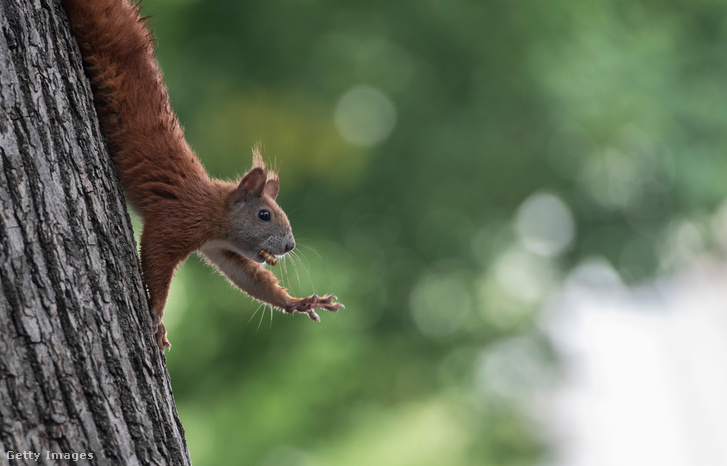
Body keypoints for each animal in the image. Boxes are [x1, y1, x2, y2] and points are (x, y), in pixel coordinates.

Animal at [62, 0, 344, 350]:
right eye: (264, 215)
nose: (290, 246)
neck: (214, 211)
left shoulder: (220, 249)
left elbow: (248, 276)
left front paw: (299, 302)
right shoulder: (178, 220)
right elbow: (156, 259)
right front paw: (157, 318)